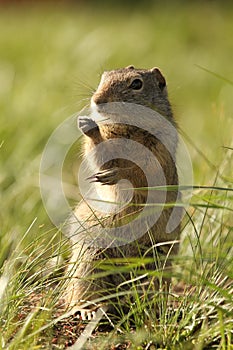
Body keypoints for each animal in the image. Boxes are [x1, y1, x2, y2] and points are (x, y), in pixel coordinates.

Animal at [64, 65, 181, 314]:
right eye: (103, 76)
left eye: (136, 84)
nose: (97, 100)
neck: (127, 126)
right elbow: (99, 155)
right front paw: (88, 125)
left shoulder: (157, 153)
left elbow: (138, 173)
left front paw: (116, 174)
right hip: (89, 259)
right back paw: (88, 309)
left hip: (157, 259)